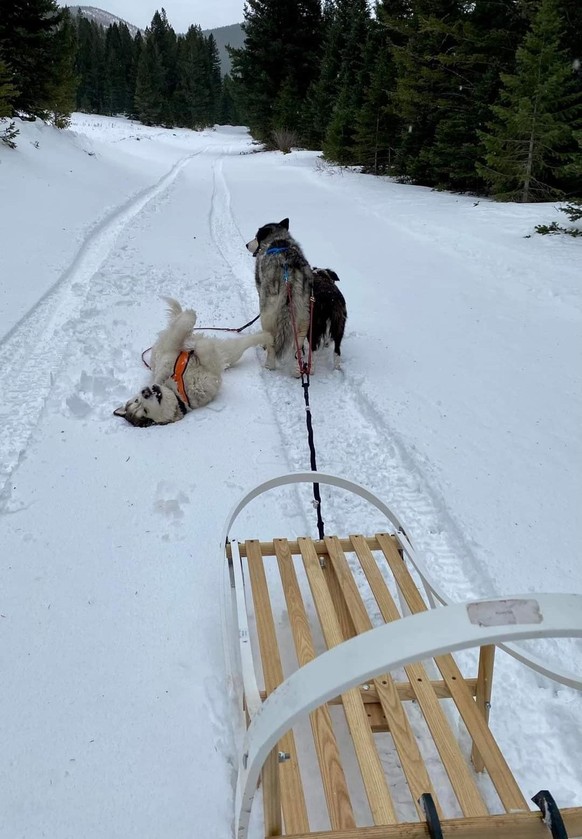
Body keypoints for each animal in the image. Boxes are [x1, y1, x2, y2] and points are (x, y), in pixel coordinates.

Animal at [114, 298, 274, 426]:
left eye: (137, 400)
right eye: (145, 411)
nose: (145, 391)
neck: (177, 388)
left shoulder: (170, 352)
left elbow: (185, 326)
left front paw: (190, 319)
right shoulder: (213, 377)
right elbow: (205, 352)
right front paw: (200, 346)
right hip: (228, 353)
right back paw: (268, 337)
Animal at [245, 218, 314, 372]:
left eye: (256, 237)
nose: (246, 245)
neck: (279, 240)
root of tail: (291, 277)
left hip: (267, 314)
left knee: (272, 341)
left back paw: (269, 365)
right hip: (304, 316)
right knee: (297, 345)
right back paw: (297, 369)